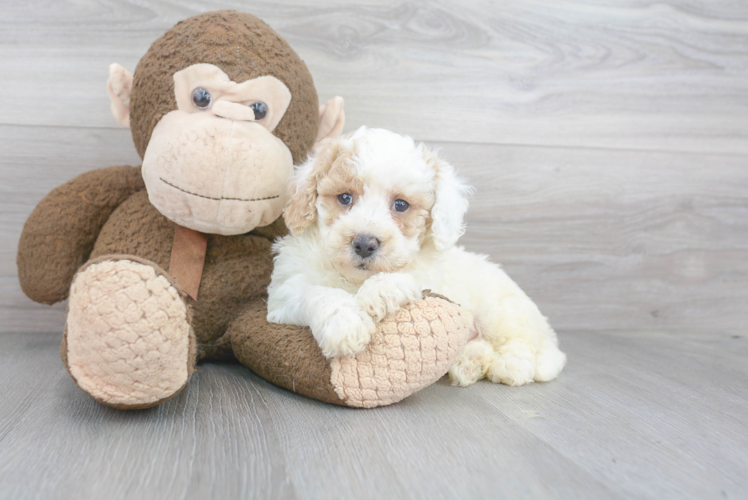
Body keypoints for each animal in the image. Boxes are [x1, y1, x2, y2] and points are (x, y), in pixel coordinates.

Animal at [268, 126, 568, 386]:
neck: (354, 280)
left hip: (501, 312)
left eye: (401, 205)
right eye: (344, 198)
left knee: (522, 344)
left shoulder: (436, 280)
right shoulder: (281, 299)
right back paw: (468, 363)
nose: (364, 243)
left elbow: (410, 275)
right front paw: (345, 323)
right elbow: (317, 293)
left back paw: (509, 366)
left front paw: (379, 292)